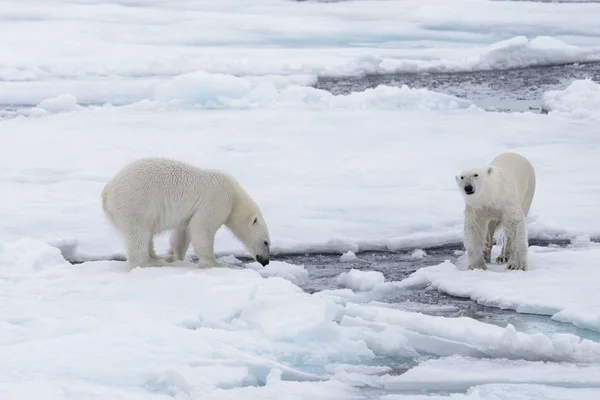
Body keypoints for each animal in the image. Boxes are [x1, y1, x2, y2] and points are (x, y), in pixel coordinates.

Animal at [102, 158, 270, 270]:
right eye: (266, 242)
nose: (266, 261)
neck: (235, 198)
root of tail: (107, 191)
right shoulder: (216, 200)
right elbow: (201, 228)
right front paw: (218, 264)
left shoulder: (190, 213)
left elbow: (182, 233)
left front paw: (175, 256)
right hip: (135, 203)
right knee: (138, 233)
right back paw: (153, 262)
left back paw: (158, 256)